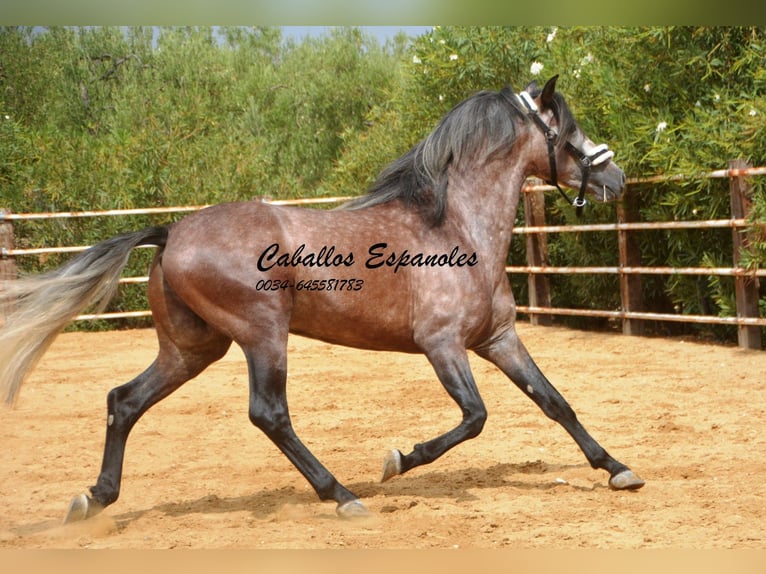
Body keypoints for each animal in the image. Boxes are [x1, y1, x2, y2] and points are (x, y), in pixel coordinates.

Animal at [0, 76, 644, 528]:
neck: (457, 227)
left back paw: (92, 500)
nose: (616, 180)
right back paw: (343, 496)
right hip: (262, 335)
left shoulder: (498, 338)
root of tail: (170, 232)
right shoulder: (442, 346)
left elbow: (555, 402)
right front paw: (398, 460)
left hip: (193, 348)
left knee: (124, 400)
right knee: (269, 414)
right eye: (568, 131)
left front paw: (618, 471)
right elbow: (475, 416)